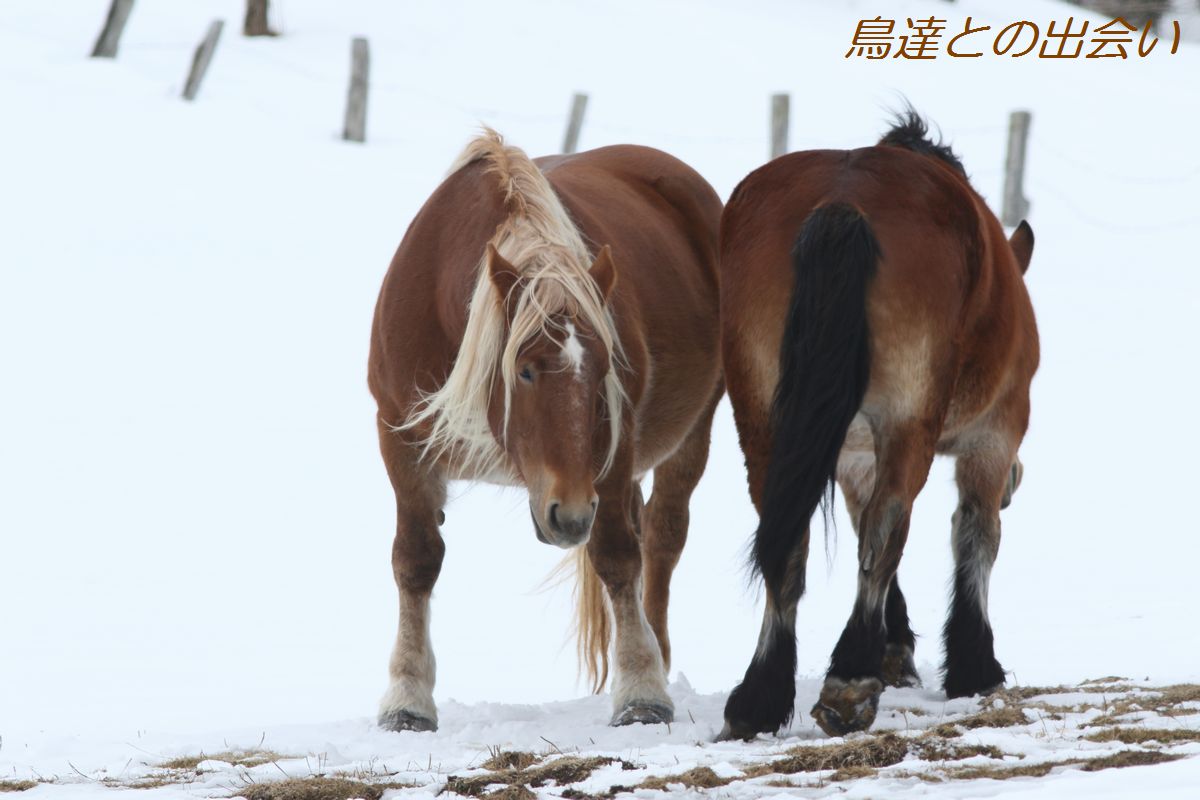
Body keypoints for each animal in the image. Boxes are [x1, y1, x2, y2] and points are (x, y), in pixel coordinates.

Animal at [364, 130, 720, 734]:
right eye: (525, 370)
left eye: (603, 369)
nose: (569, 514)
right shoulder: (399, 437)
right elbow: (415, 559)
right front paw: (407, 701)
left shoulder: (614, 445)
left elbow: (618, 555)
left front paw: (641, 690)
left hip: (692, 433)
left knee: (662, 537)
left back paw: (658, 652)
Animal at [715, 110, 1036, 738]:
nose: (1017, 480)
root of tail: (845, 201)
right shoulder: (995, 431)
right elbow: (975, 533)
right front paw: (975, 665)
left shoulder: (853, 454)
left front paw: (896, 649)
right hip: (911, 419)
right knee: (889, 527)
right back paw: (849, 680)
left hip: (762, 420)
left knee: (788, 540)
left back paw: (760, 697)